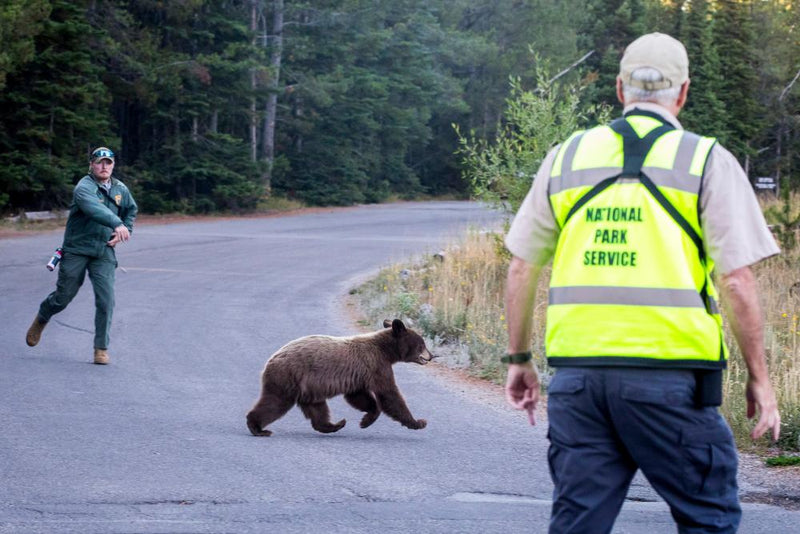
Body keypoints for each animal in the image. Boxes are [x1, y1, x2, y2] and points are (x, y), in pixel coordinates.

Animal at [246, 319, 434, 436]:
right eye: (422, 344)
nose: (431, 356)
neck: (386, 351)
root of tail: (270, 360)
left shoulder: (360, 375)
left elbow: (359, 396)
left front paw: (365, 420)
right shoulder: (376, 366)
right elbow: (389, 394)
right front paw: (418, 422)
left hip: (308, 386)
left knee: (317, 408)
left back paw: (335, 424)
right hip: (288, 378)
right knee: (275, 403)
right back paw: (258, 428)